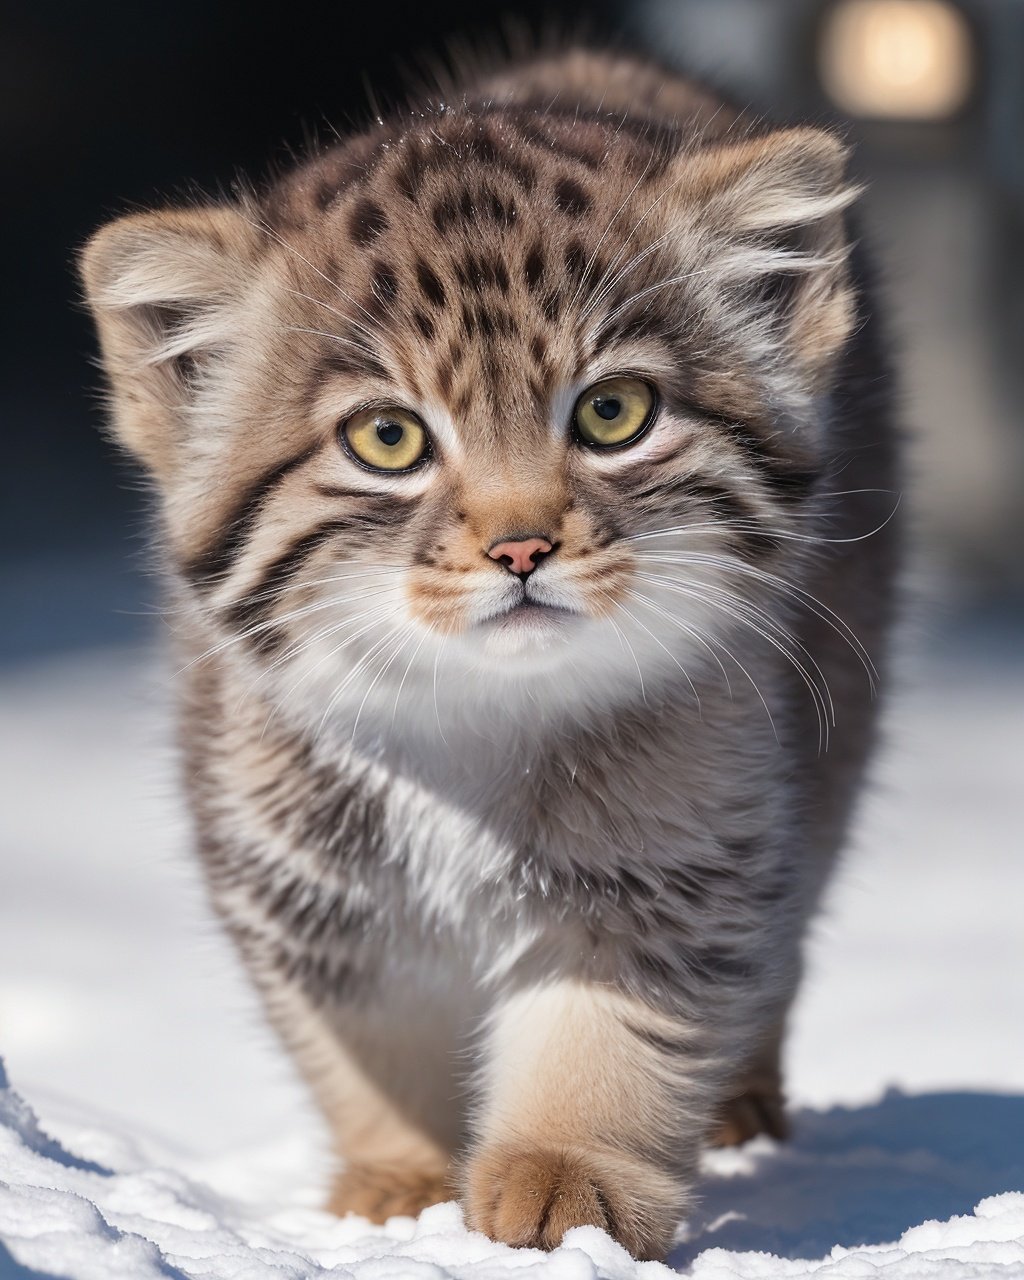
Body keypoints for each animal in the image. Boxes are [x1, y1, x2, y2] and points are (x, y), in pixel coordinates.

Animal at [80, 47, 896, 1259]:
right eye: (386, 437)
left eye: (613, 412)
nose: (521, 545)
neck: (470, 726)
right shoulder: (289, 870)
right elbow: (371, 1041)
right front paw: (400, 1184)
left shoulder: (686, 849)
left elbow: (609, 1034)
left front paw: (566, 1173)